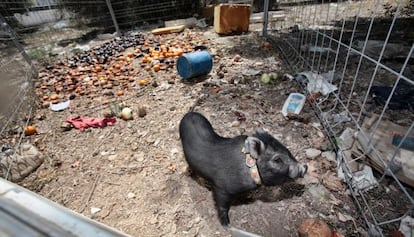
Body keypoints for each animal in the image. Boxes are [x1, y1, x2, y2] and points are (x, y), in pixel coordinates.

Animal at [179, 112, 308, 227]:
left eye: (288, 151)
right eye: (277, 160)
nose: (305, 167)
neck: (251, 168)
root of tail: (189, 114)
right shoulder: (220, 188)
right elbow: (222, 206)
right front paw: (226, 225)